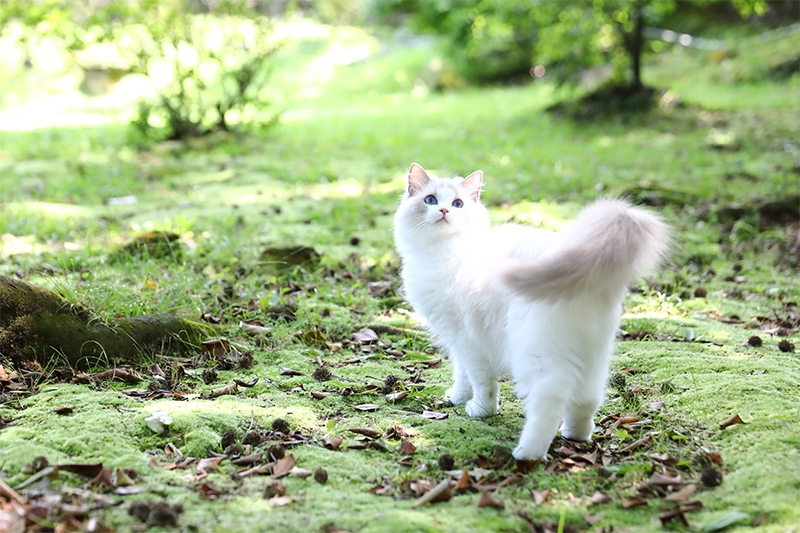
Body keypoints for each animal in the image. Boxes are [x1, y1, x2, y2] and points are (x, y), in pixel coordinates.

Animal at [394, 162, 668, 458]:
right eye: (431, 200)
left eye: (457, 204)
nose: (444, 211)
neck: (447, 253)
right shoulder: (457, 341)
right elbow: (462, 375)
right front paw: (457, 398)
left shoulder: (468, 341)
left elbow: (480, 382)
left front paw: (480, 411)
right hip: (593, 355)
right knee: (588, 399)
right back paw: (576, 435)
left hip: (536, 357)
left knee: (549, 402)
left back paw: (528, 453)